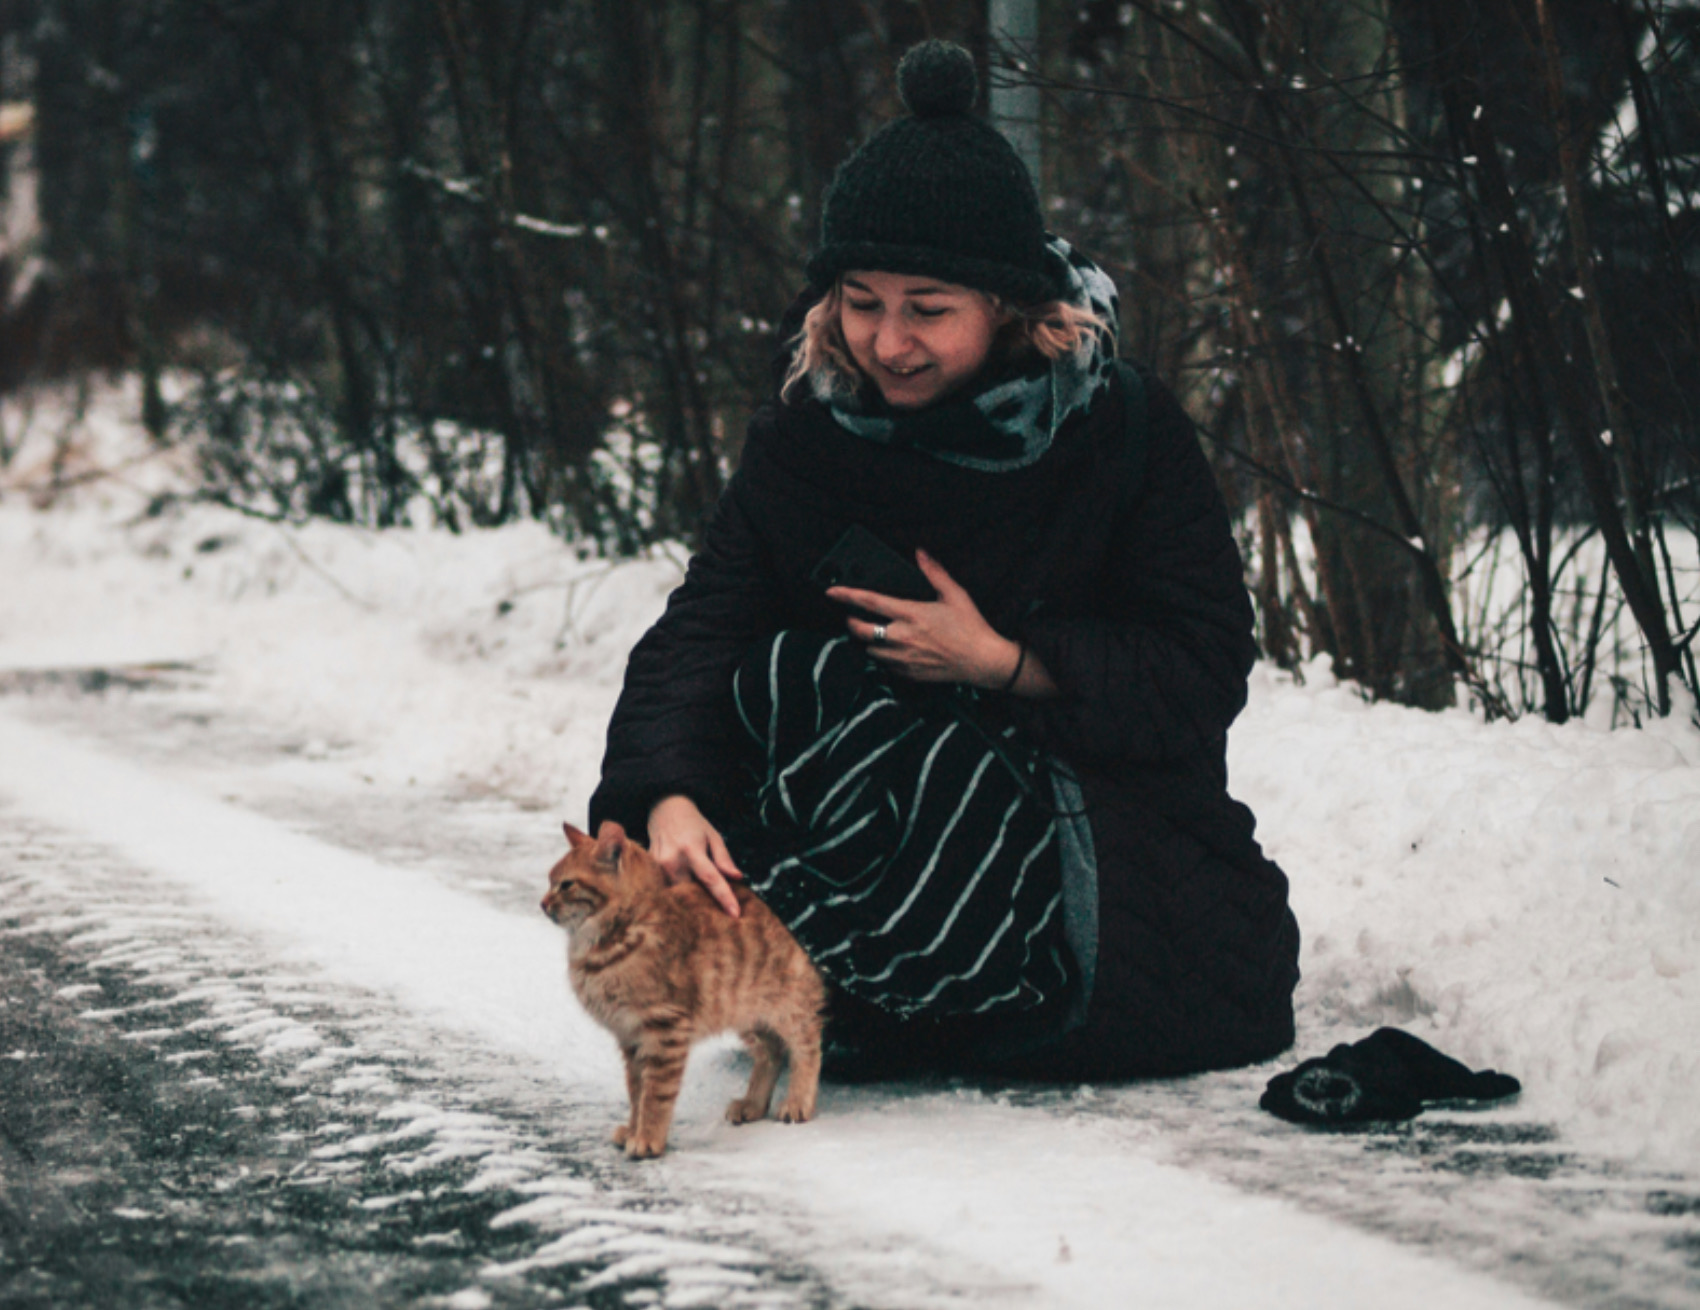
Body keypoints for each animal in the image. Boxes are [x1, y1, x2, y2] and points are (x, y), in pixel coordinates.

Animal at [540, 818, 826, 1155]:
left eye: (566, 885)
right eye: (550, 882)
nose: (542, 903)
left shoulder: (665, 1029)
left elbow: (655, 1094)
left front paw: (648, 1138)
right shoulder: (631, 1038)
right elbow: (636, 1090)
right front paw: (634, 1128)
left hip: (788, 1007)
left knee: (807, 1046)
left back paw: (797, 1101)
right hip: (745, 1012)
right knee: (772, 1051)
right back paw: (753, 1104)